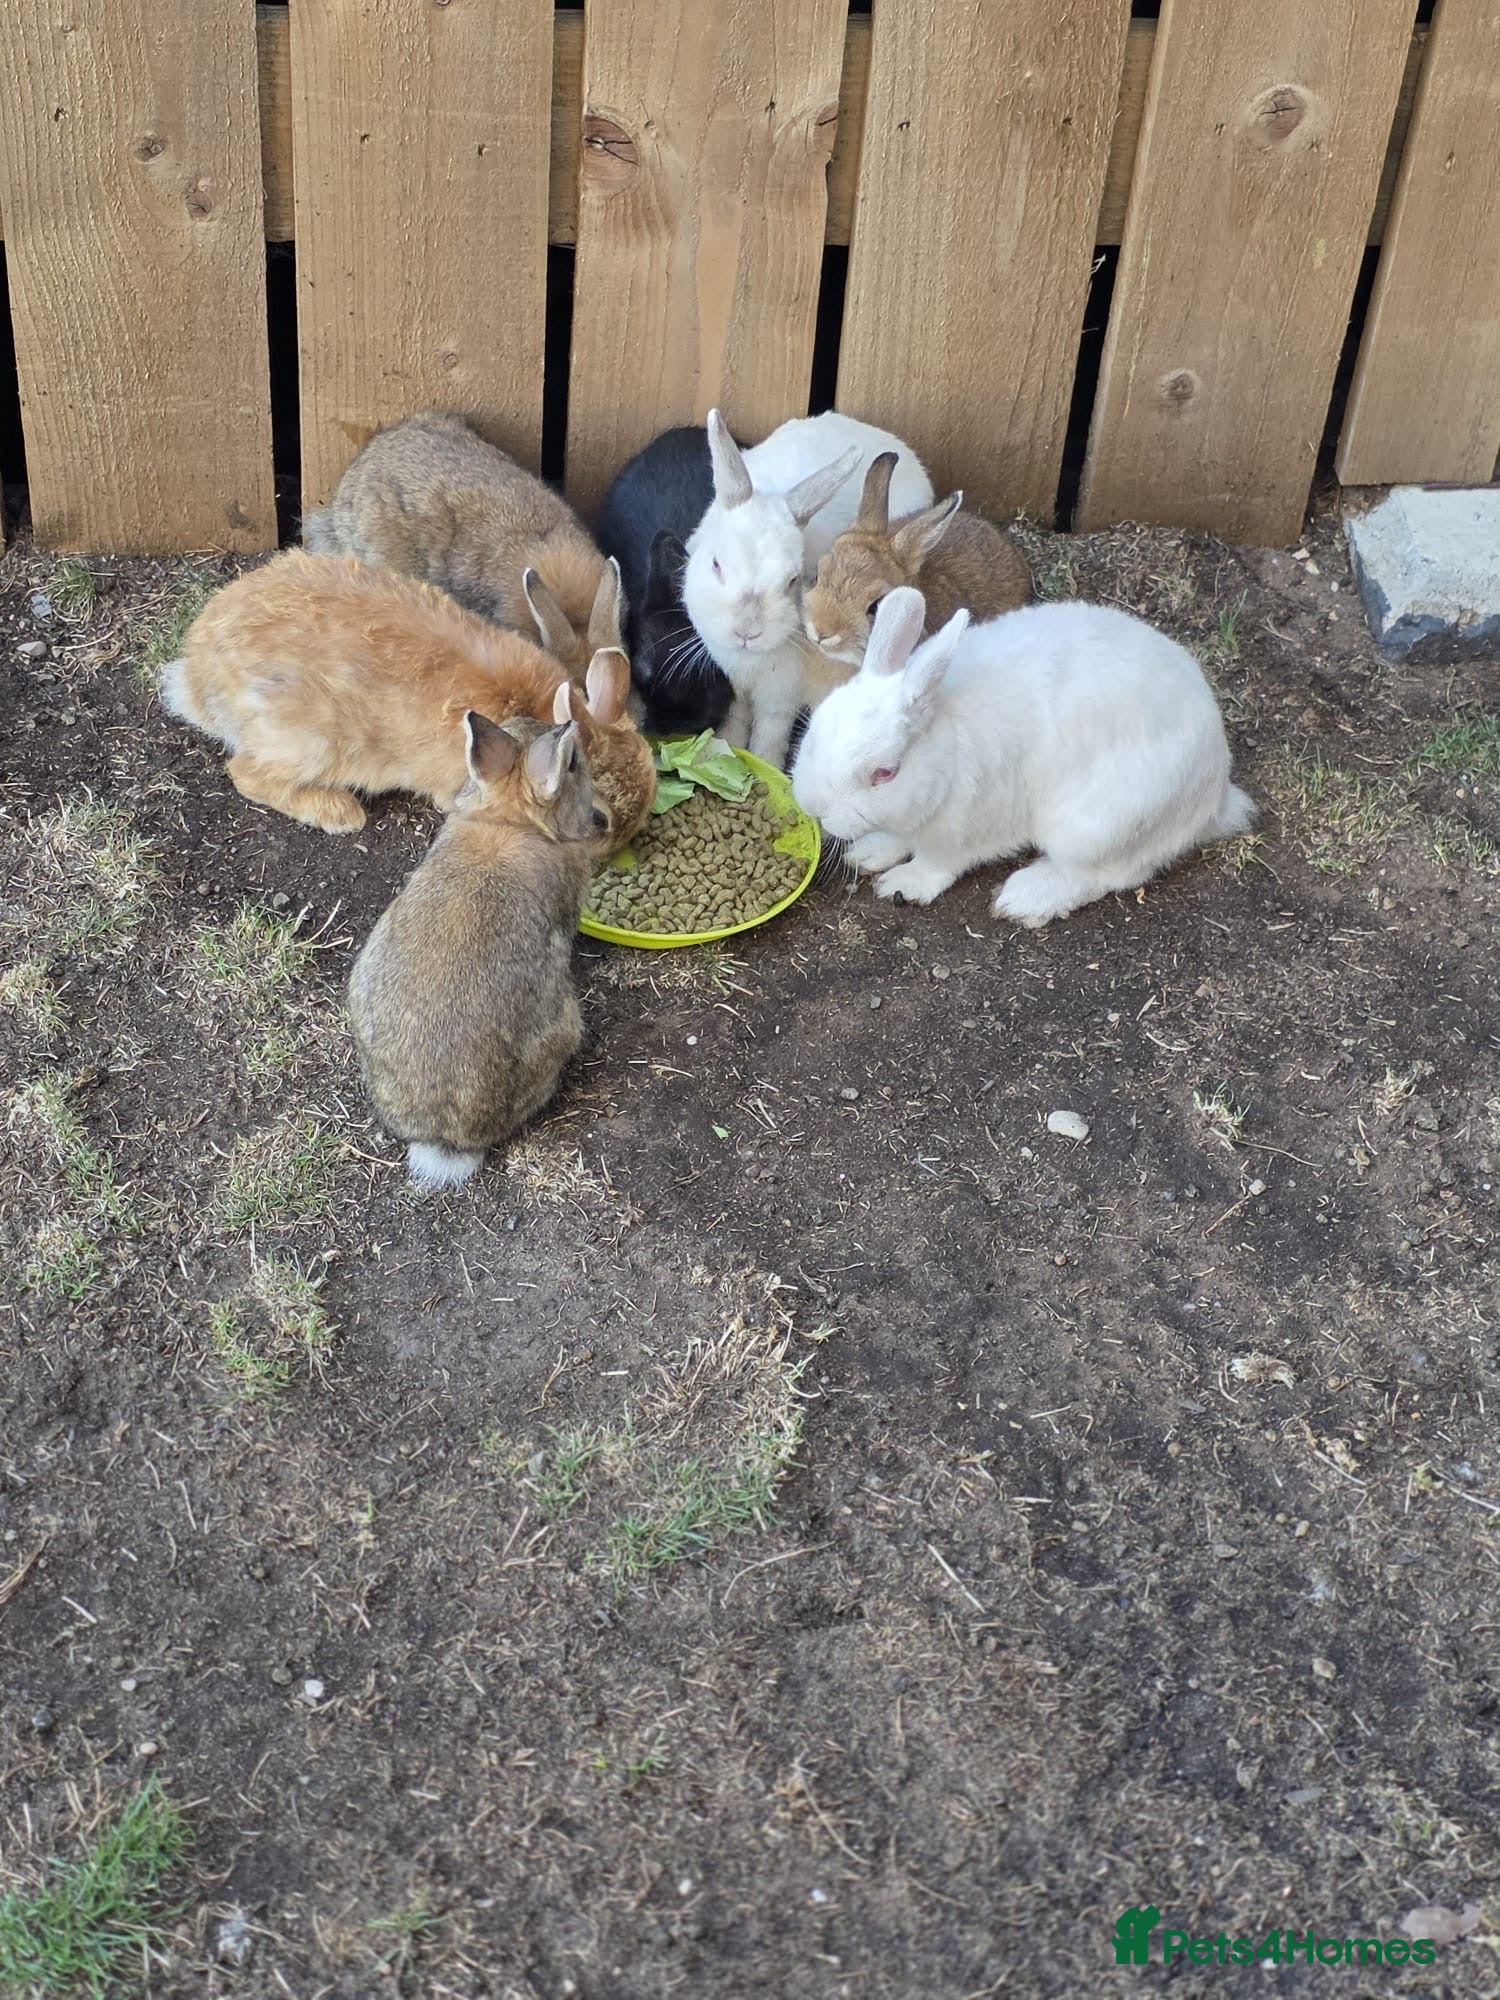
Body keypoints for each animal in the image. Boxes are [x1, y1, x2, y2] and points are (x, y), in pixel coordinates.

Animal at [157, 551, 653, 854]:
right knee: (245, 773)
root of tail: (197, 676)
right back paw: (339, 812)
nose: (615, 850)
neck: (533, 712)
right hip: (308, 743)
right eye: (599, 819)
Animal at [681, 410, 934, 770]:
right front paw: (724, 752)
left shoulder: (782, 692)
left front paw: (765, 765)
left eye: (793, 580)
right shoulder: (733, 687)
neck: (749, 661)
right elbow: (735, 721)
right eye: (716, 565)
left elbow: (771, 731)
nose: (747, 632)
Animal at [791, 587, 1256, 928]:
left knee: (1106, 875)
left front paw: (902, 884)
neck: (947, 749)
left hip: (1099, 826)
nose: (814, 809)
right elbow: (895, 838)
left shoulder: (966, 831)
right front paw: (868, 854)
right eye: (815, 729)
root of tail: (1216, 794)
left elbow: (937, 864)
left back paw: (1025, 898)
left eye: (885, 773)